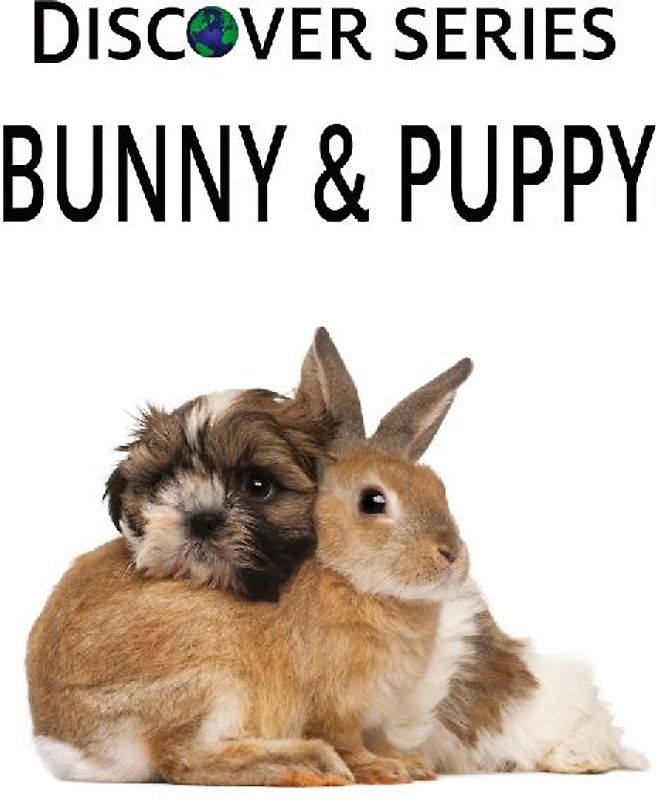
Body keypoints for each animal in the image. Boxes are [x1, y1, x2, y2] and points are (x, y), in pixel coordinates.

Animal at [27, 328, 474, 786]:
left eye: (439, 488)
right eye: (373, 501)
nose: (451, 555)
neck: (345, 577)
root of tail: (67, 743)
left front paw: (411, 765)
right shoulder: (333, 707)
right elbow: (348, 741)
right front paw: (384, 769)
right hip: (214, 683)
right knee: (183, 759)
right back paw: (312, 764)